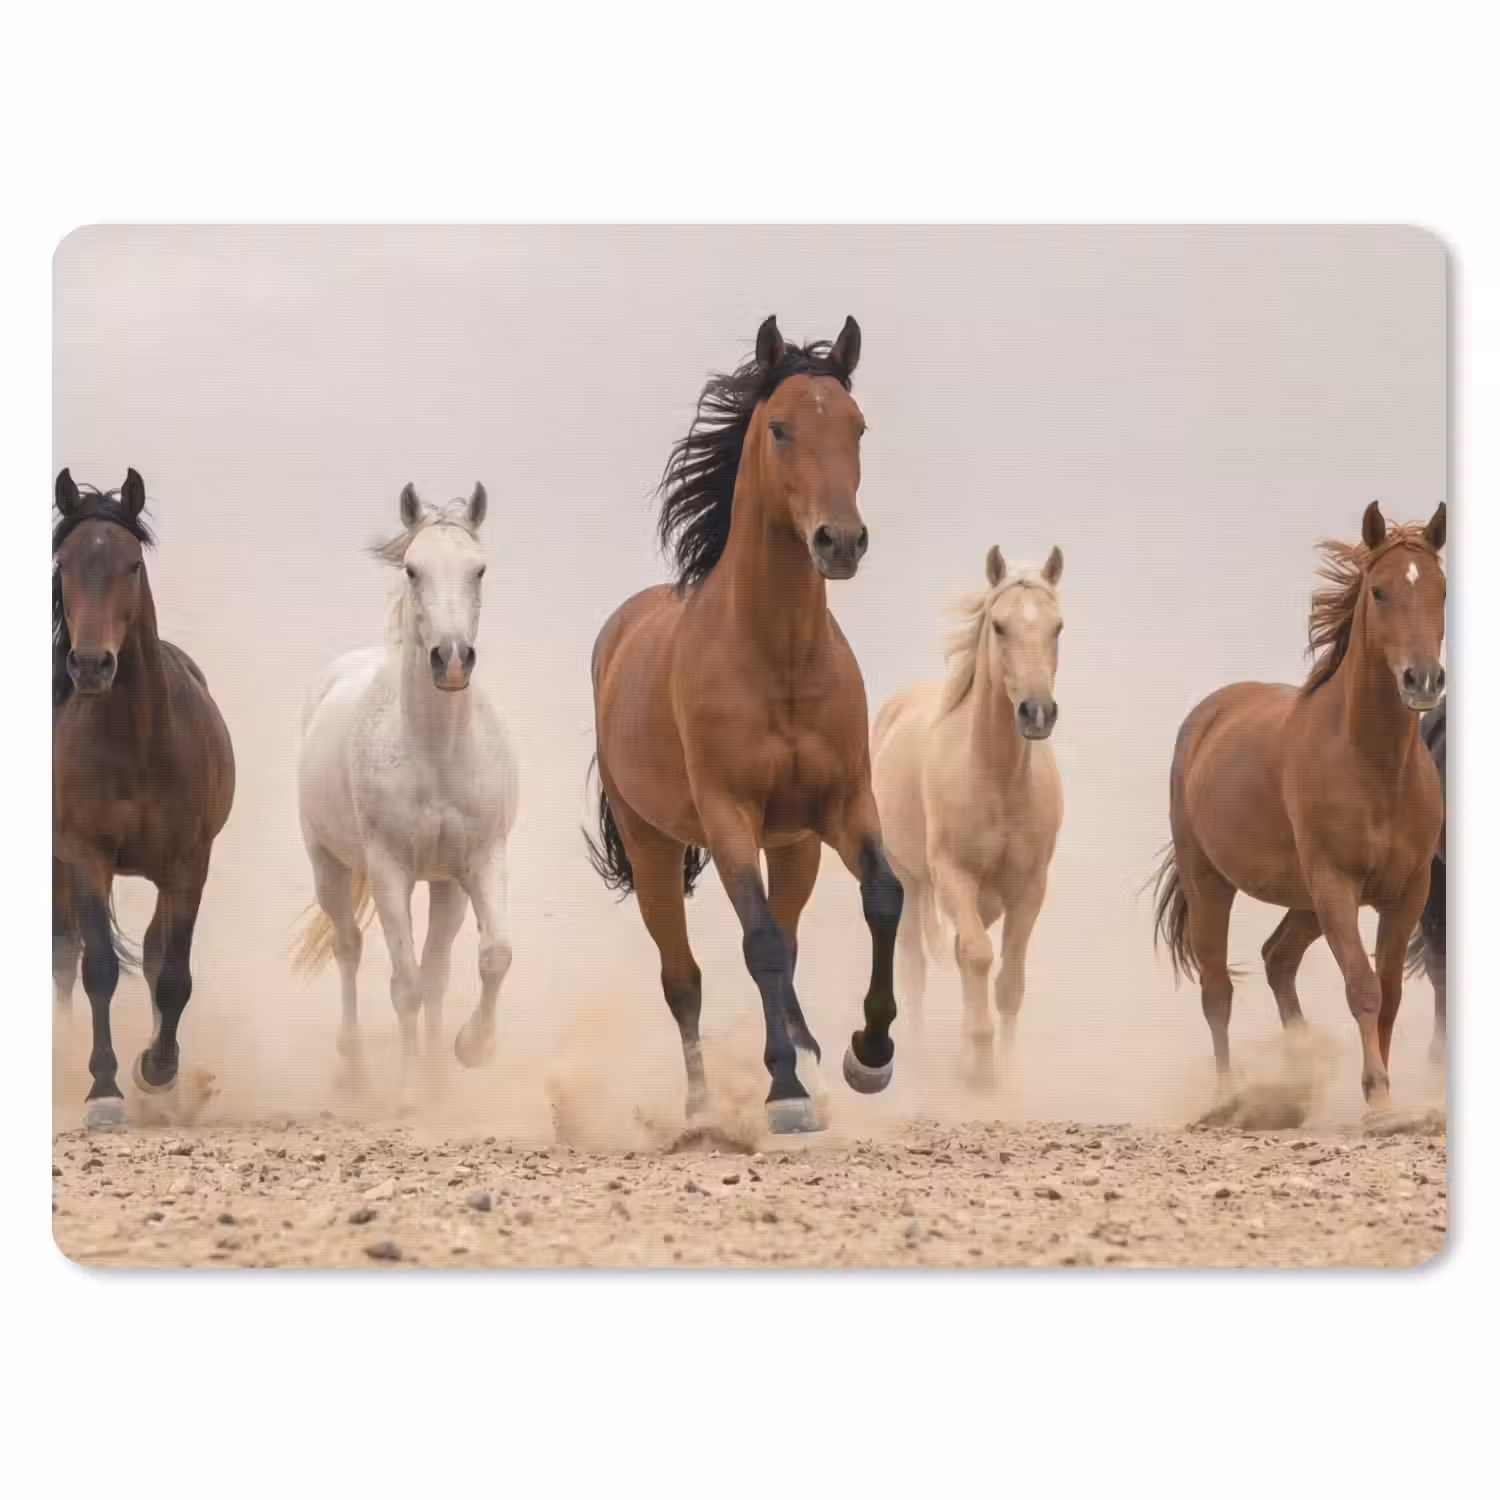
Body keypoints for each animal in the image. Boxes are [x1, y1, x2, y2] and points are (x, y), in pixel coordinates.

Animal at [52, 468, 236, 1128]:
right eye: (64, 563)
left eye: (131, 564)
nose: (90, 665)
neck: (136, 737)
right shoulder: (85, 856)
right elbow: (99, 968)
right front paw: (103, 1090)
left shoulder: (188, 864)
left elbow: (173, 972)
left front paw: (158, 1070)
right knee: (64, 955)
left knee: (155, 955)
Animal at [292, 484, 518, 1098]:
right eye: (413, 570)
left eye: (479, 569)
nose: (452, 659)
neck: (435, 752)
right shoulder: (390, 871)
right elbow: (406, 986)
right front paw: (412, 1094)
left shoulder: (476, 864)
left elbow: (491, 957)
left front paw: (468, 1052)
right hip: (329, 866)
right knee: (349, 948)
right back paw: (354, 1068)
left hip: (441, 885)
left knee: (437, 970)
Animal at [585, 314, 903, 1135]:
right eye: (782, 428)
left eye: (858, 427)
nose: (840, 542)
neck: (779, 657)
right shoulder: (727, 814)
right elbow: (754, 941)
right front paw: (784, 1092)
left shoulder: (843, 806)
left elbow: (882, 898)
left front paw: (867, 1056)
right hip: (655, 847)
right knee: (684, 978)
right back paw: (703, 1109)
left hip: (794, 846)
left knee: (786, 940)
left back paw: (815, 1058)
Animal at [871, 544, 1065, 1090]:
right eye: (999, 626)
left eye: (1057, 627)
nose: (1036, 713)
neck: (996, 778)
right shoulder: (953, 876)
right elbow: (976, 956)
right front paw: (979, 1067)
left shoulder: (1029, 889)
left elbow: (1009, 979)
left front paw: (1005, 1066)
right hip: (911, 881)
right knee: (915, 967)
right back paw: (917, 1055)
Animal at [1152, 501, 1446, 1112]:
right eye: (1380, 591)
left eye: (1441, 589)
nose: (1424, 680)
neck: (1373, 765)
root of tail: (1207, 715)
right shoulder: (1336, 884)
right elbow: (1362, 987)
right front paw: (1378, 1100)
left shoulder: (1407, 893)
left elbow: (1388, 994)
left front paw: (1384, 1100)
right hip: (1211, 880)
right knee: (1217, 989)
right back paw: (1229, 1098)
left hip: (1304, 901)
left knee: (1277, 957)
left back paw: (1297, 1071)